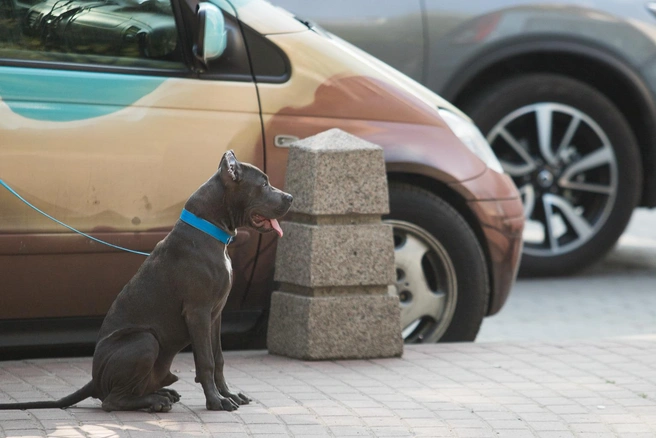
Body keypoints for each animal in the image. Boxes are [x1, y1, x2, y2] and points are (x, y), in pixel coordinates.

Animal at [0, 151, 292, 410]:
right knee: (111, 401)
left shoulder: (216, 314)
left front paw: (228, 394)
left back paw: (162, 394)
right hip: (145, 340)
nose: (290, 197)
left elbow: (218, 358)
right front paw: (216, 402)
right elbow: (206, 360)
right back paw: (155, 402)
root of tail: (94, 379)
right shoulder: (198, 312)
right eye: (263, 184)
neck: (209, 231)